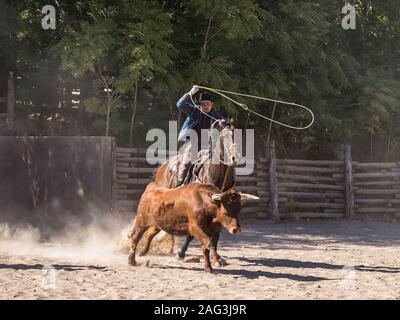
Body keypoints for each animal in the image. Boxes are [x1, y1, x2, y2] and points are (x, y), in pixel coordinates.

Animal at [139, 120, 238, 260]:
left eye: (235, 135)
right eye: (224, 137)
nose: (234, 158)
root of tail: (164, 165)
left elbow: (216, 233)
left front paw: (215, 256)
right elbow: (193, 233)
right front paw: (181, 252)